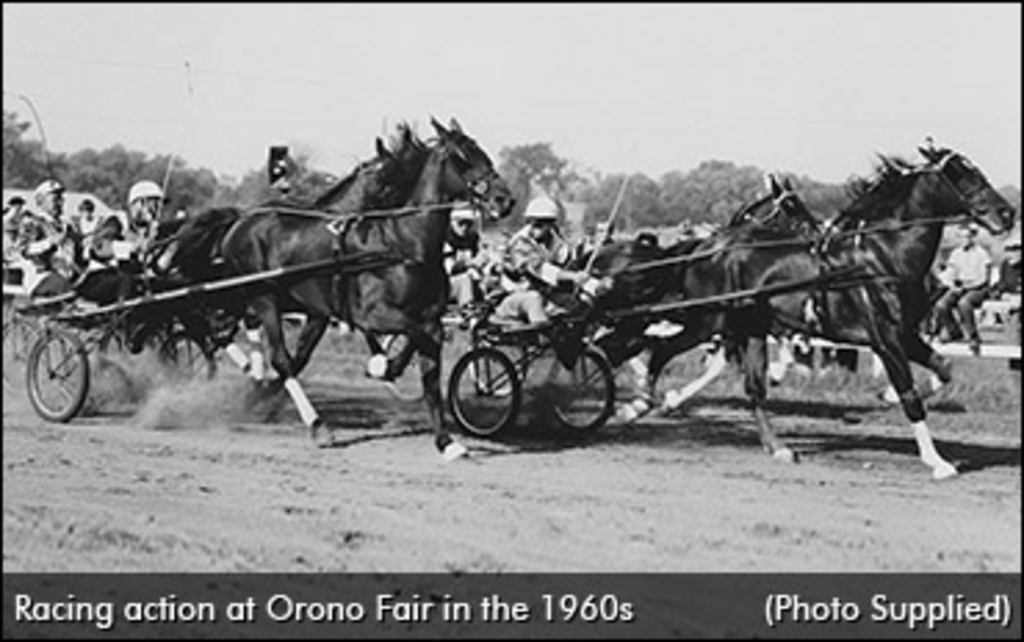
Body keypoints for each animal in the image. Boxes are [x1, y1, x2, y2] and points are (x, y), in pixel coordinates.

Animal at [220, 118, 516, 458]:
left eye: (484, 153)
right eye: (462, 157)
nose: (504, 200)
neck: (402, 244)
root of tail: (241, 222)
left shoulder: (431, 317)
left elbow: (429, 373)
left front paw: (446, 442)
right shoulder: (373, 315)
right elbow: (410, 334)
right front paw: (382, 365)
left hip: (308, 308)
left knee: (291, 357)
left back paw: (260, 396)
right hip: (263, 295)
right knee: (282, 359)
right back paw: (317, 425)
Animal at [598, 144, 1015, 477]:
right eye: (962, 176)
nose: (1007, 213)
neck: (879, 257)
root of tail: (707, 245)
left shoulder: (906, 335)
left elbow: (944, 369)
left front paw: (887, 396)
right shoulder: (886, 339)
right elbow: (911, 398)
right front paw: (938, 462)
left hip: (744, 325)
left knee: (753, 388)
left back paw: (776, 446)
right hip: (708, 317)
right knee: (661, 348)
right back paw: (637, 405)